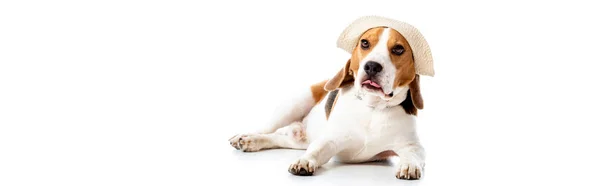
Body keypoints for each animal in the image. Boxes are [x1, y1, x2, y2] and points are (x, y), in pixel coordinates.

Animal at [230, 16, 436, 180]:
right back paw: (246, 137)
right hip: (294, 104)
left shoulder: (413, 146)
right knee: (265, 129)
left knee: (277, 138)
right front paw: (304, 162)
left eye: (399, 49)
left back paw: (252, 142)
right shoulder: (331, 139)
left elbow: (413, 155)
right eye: (365, 43)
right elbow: (316, 150)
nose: (371, 66)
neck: (373, 107)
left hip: (298, 140)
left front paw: (409, 165)